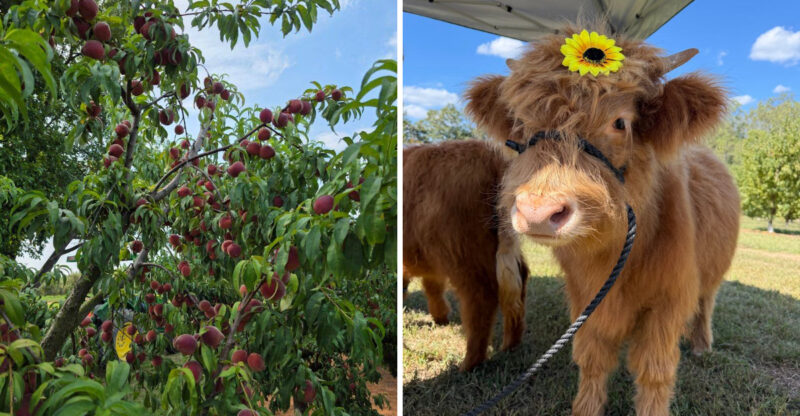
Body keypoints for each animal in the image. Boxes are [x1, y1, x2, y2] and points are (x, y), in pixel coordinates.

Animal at [403, 140, 529, 371]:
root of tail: (490, 156)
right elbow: (432, 287)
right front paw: (441, 317)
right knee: (519, 279)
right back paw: (510, 344)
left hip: (463, 252)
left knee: (481, 296)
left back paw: (469, 363)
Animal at [465, 25, 739, 416]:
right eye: (523, 124)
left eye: (620, 122)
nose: (538, 212)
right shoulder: (586, 297)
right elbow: (592, 358)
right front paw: (586, 407)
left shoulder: (669, 301)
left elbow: (654, 372)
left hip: (713, 272)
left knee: (705, 303)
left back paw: (701, 344)